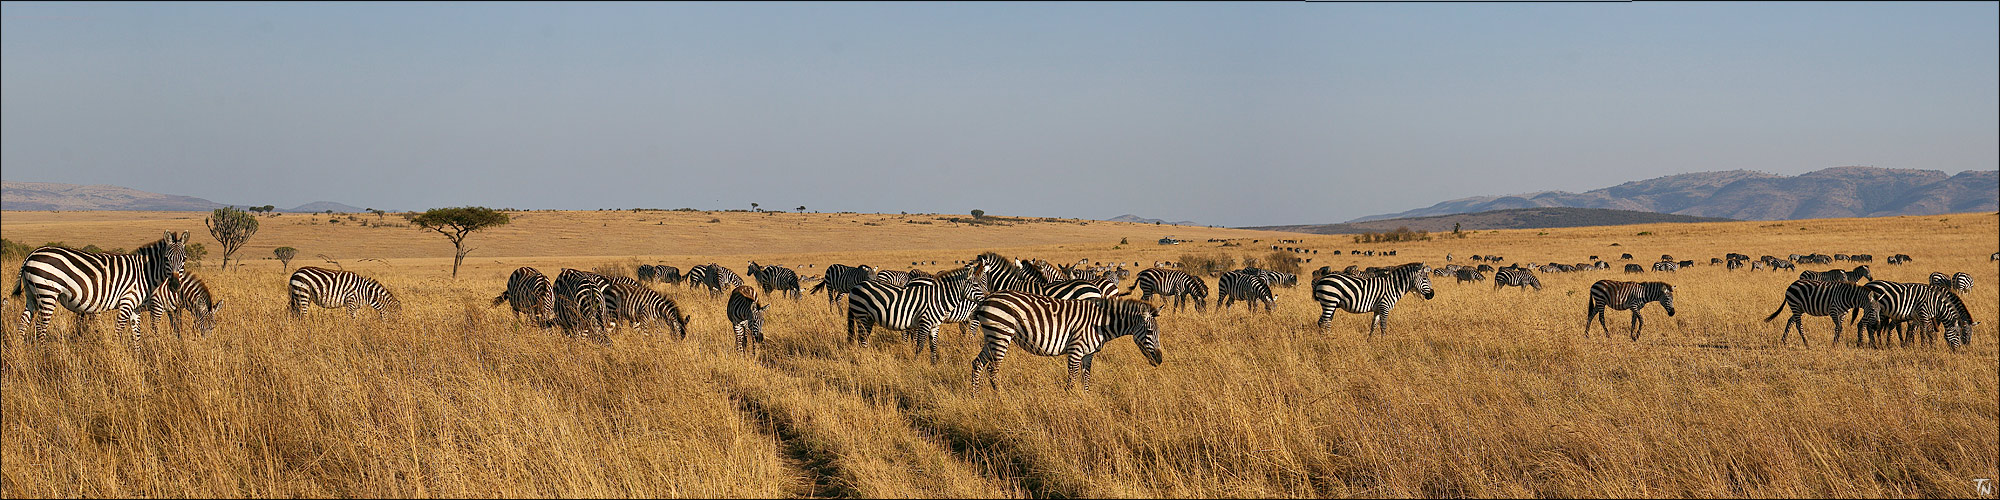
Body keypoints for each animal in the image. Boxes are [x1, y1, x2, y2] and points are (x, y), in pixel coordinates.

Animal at [14, 232, 189, 346]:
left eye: (184, 259)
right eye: (166, 258)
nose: (175, 285)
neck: (145, 273)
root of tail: (31, 255)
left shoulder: (135, 306)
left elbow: (136, 334)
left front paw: (137, 358)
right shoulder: (127, 301)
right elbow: (119, 330)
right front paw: (118, 354)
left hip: (32, 295)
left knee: (23, 322)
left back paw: (20, 352)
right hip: (47, 293)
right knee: (40, 326)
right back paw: (44, 354)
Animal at [844, 264, 984, 362]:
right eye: (975, 285)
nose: (986, 298)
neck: (939, 299)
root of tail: (857, 286)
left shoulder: (935, 325)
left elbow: (933, 345)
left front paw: (934, 365)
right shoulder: (925, 323)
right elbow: (920, 345)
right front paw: (916, 363)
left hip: (869, 318)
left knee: (864, 338)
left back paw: (867, 356)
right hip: (861, 315)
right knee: (862, 338)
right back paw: (864, 358)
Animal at [964, 292, 1168, 394]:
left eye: (1158, 333)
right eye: (1150, 332)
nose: (1159, 360)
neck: (1100, 324)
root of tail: (986, 299)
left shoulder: (1088, 353)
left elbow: (1086, 376)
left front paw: (1086, 398)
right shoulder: (1076, 349)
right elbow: (1073, 376)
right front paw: (1069, 398)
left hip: (991, 337)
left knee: (977, 363)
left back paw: (976, 396)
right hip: (1001, 334)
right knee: (993, 369)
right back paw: (1000, 397)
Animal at [1312, 262, 1440, 336]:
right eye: (1425, 278)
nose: (1432, 294)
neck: (1393, 286)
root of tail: (1321, 279)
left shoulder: (1378, 309)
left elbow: (1373, 326)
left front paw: (1370, 343)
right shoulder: (1384, 307)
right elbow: (1383, 326)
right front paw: (1384, 343)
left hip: (1331, 304)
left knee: (1324, 321)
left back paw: (1327, 339)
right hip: (1329, 301)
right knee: (1324, 321)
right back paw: (1327, 340)